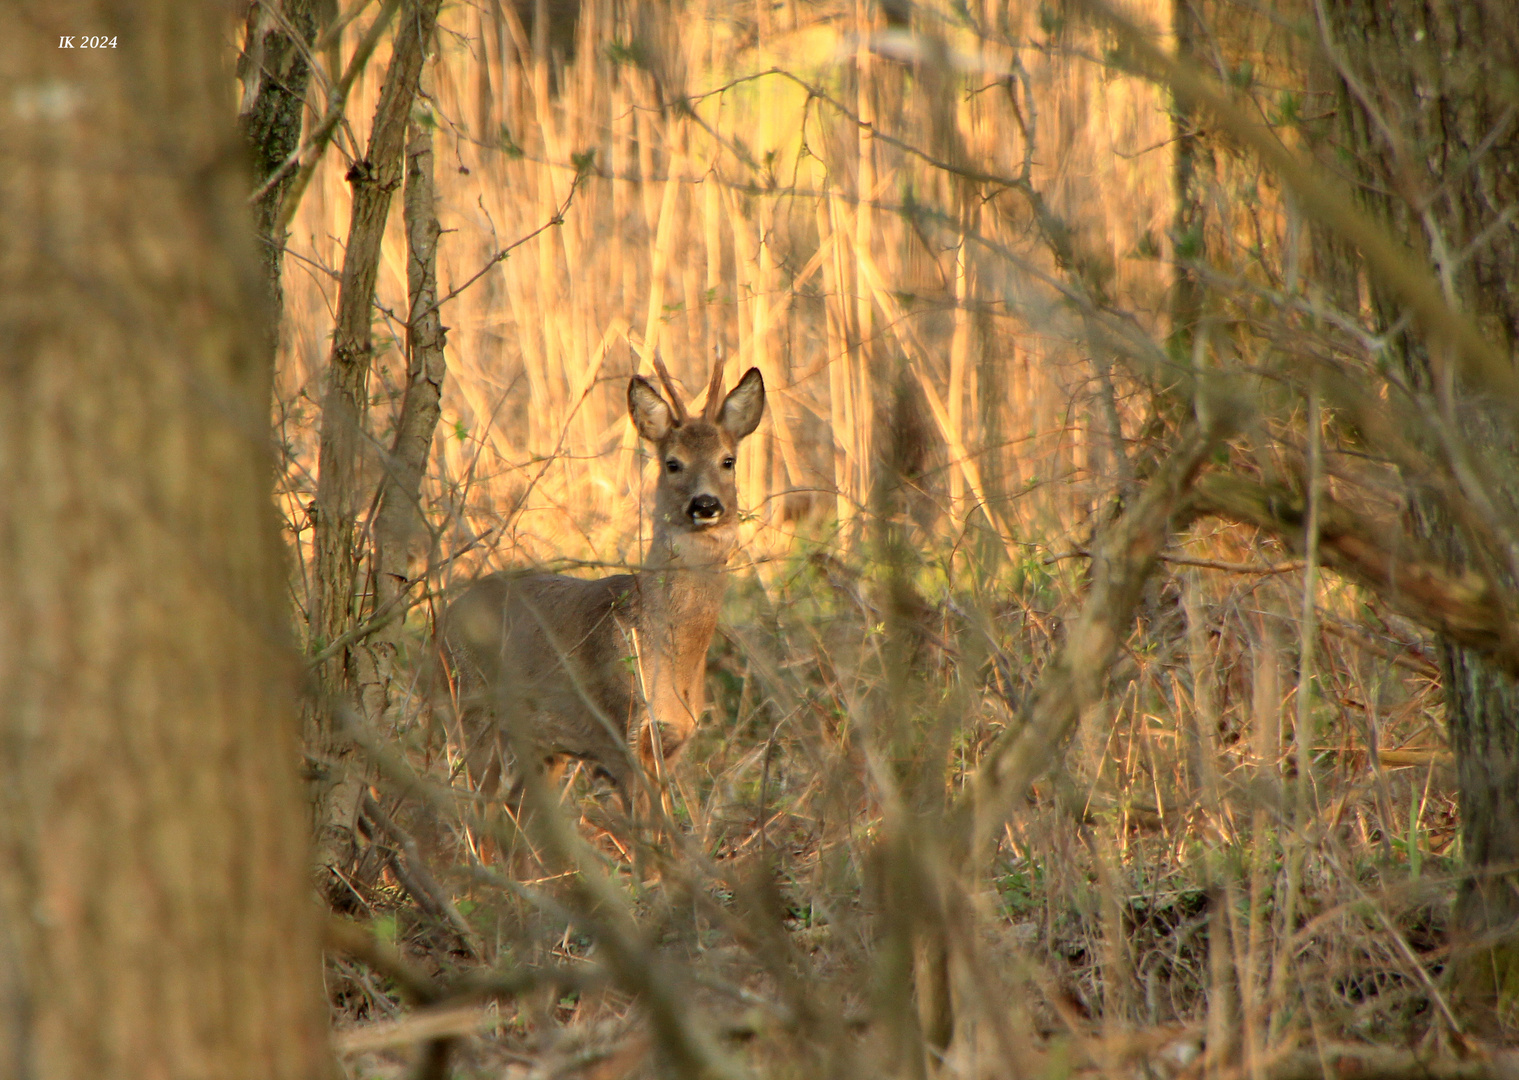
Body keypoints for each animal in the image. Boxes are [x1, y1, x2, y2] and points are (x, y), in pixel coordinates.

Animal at [443, 361, 771, 814]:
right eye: (673, 463)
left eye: (728, 460)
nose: (705, 505)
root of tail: (447, 613)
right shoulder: (622, 732)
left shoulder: (674, 743)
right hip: (471, 706)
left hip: (543, 747)